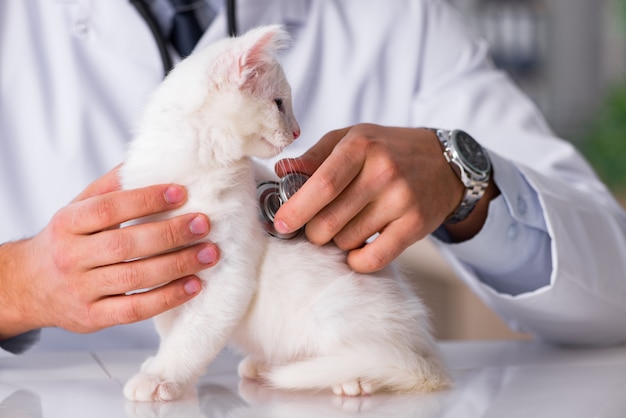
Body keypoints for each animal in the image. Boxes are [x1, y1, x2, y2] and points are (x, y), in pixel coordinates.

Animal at [119, 23, 446, 402]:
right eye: (278, 104)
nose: (298, 131)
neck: (194, 165)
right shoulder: (165, 272)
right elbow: (171, 328)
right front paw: (157, 366)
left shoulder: (229, 275)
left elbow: (192, 336)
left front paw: (162, 377)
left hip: (334, 312)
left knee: (386, 359)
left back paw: (350, 378)